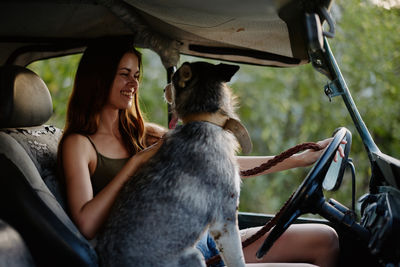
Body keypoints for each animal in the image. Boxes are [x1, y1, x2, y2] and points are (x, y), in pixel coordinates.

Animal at [96, 61, 250, 267]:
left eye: (173, 79)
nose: (164, 88)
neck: (204, 118)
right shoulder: (225, 220)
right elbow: (238, 260)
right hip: (194, 255)